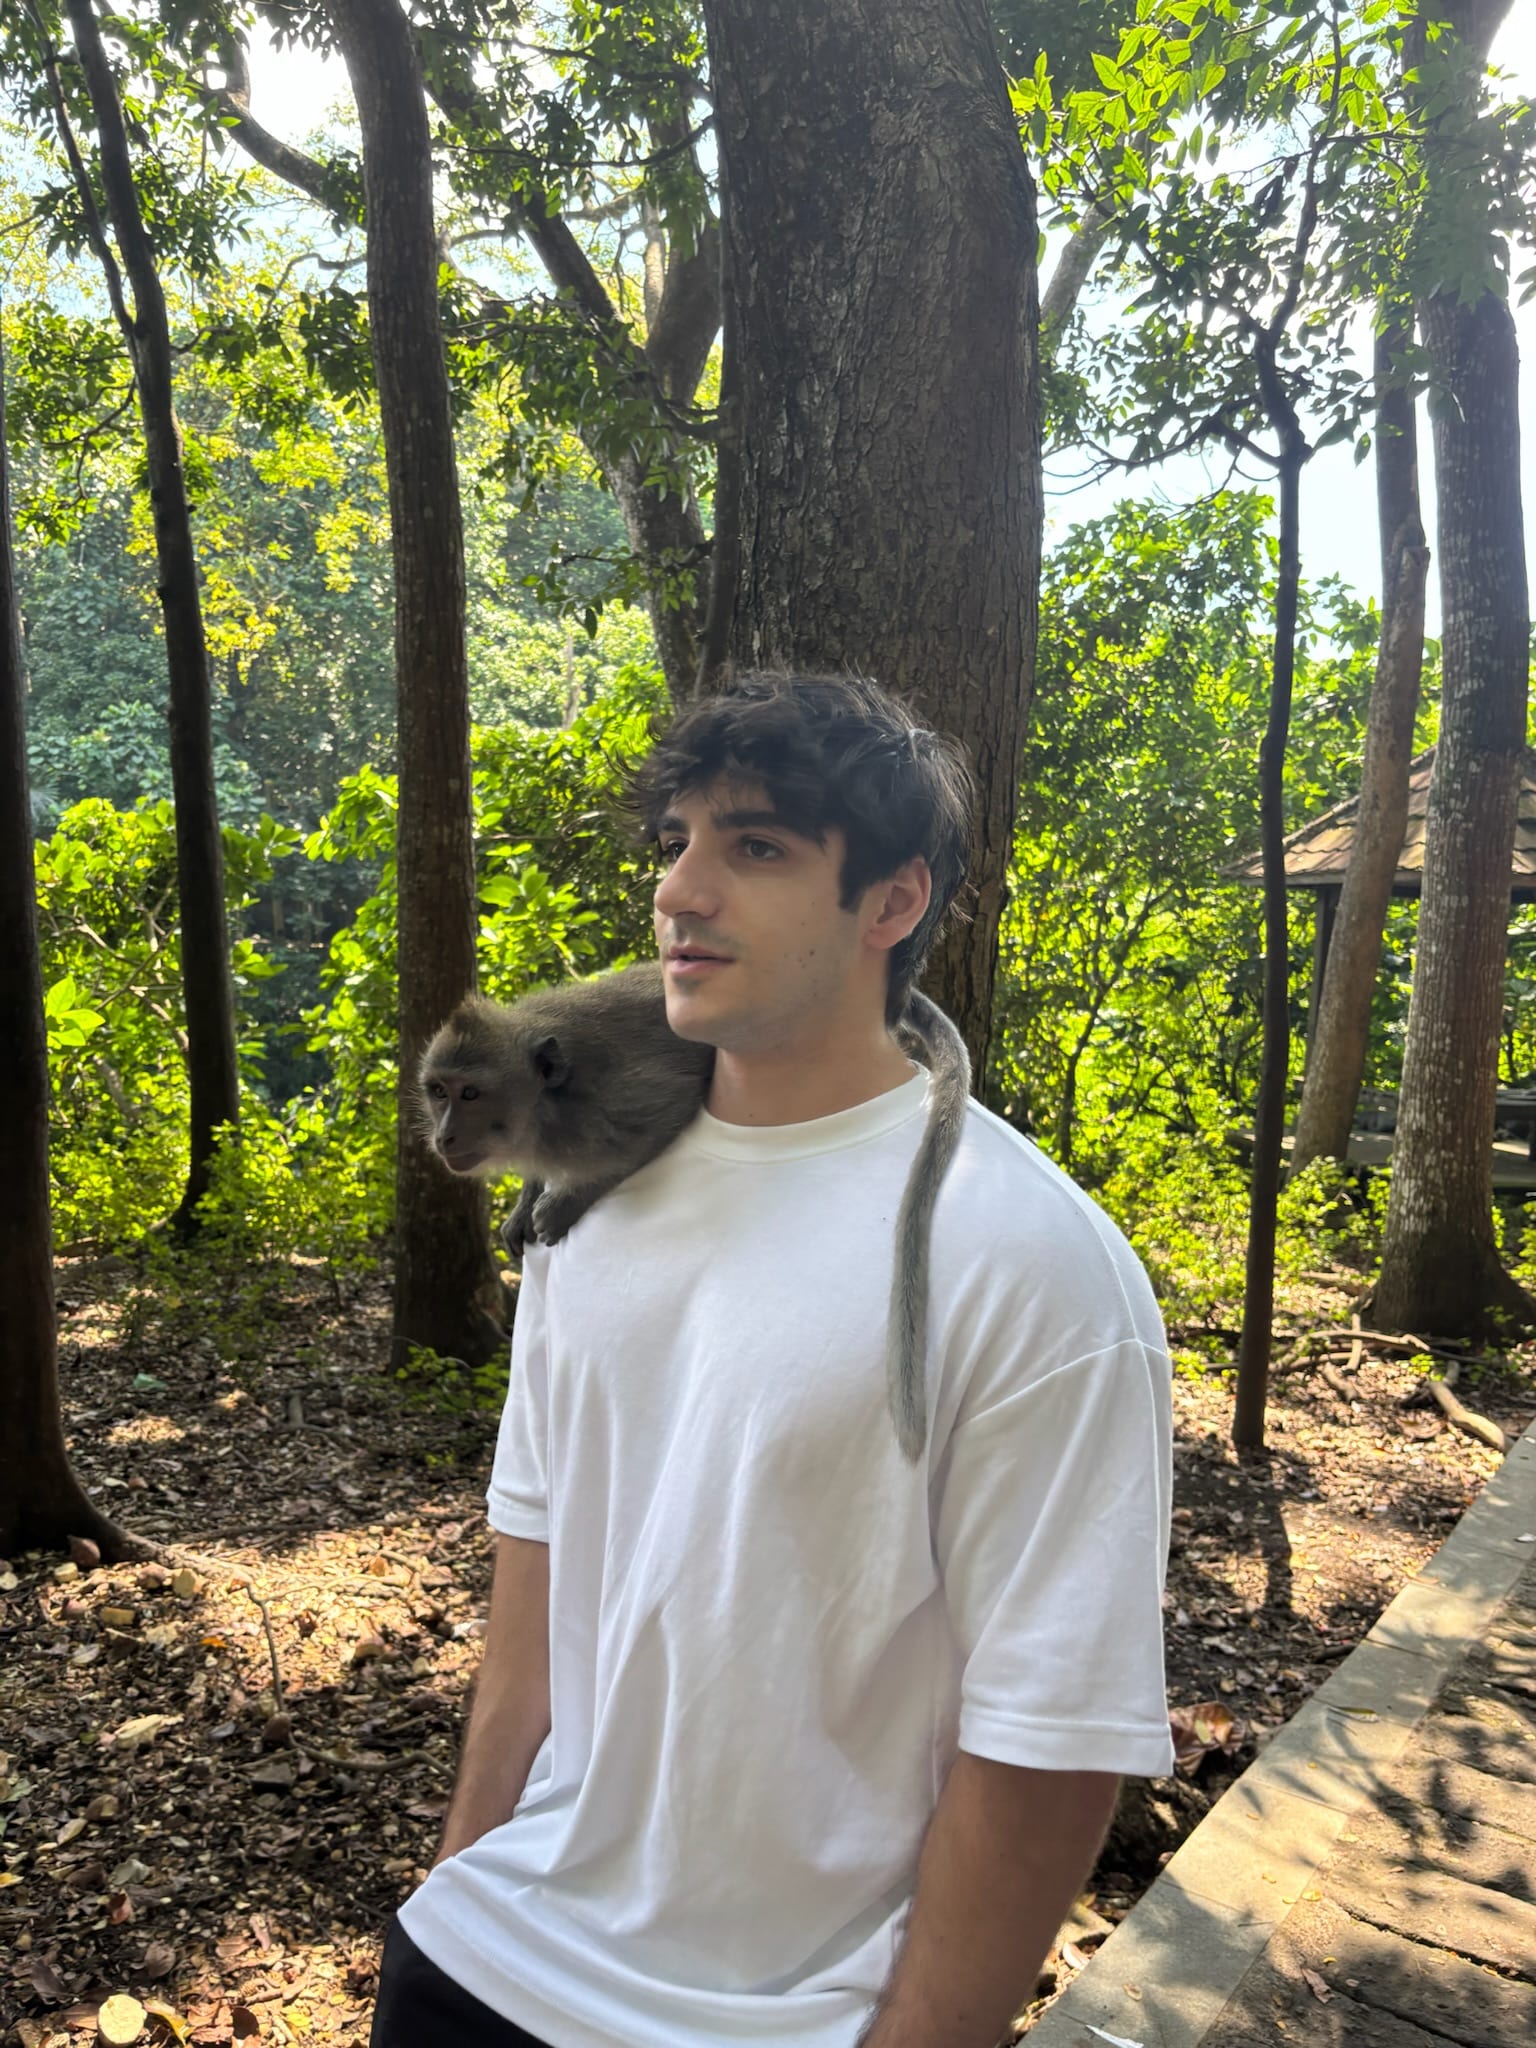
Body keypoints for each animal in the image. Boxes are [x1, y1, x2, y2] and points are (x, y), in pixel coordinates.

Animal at [418, 962, 971, 1462]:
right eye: (439, 1092)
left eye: (471, 1094)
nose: (444, 1136)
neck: (547, 1105)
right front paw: (526, 1202)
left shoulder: (615, 1102)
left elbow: (665, 1110)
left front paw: (564, 1202)